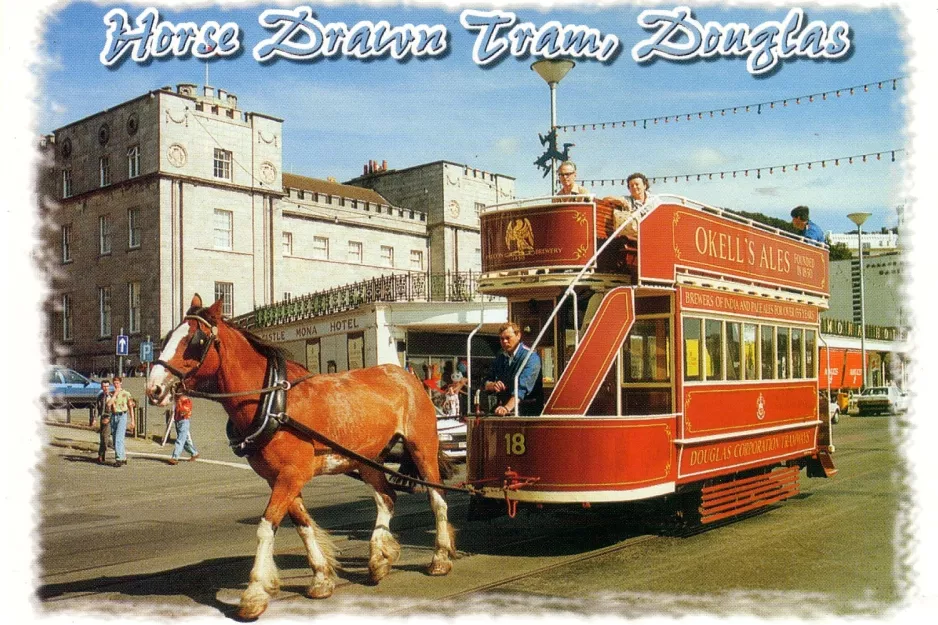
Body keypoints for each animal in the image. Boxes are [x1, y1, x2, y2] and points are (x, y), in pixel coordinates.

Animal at [144, 294, 456, 616]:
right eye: (168, 337)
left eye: (195, 340)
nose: (154, 388)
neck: (272, 401)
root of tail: (406, 375)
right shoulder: (278, 478)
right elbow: (303, 526)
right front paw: (321, 577)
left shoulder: (291, 475)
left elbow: (265, 528)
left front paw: (254, 593)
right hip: (367, 459)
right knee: (387, 498)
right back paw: (379, 558)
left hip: (422, 447)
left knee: (437, 499)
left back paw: (440, 558)